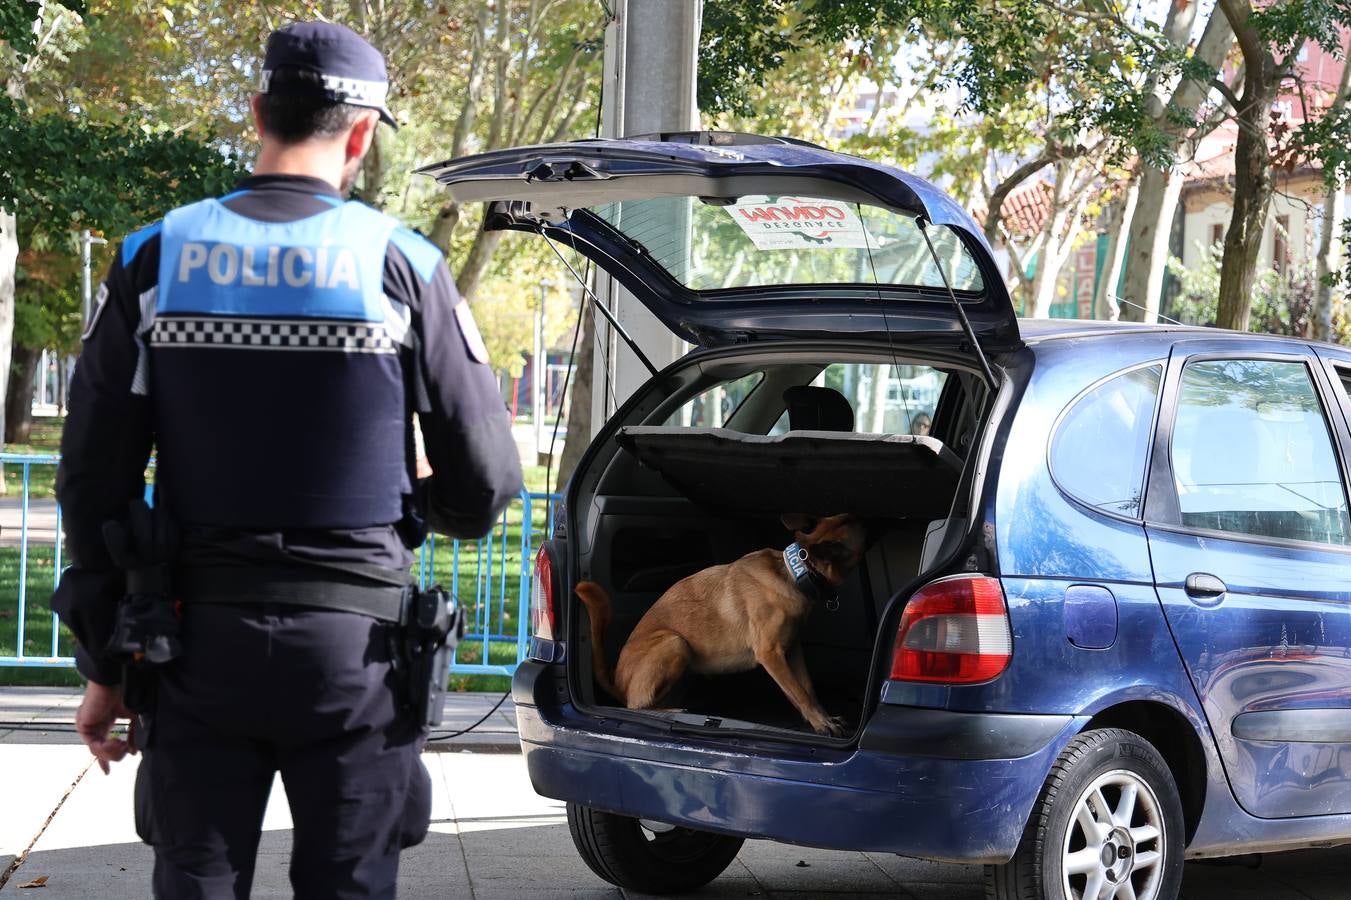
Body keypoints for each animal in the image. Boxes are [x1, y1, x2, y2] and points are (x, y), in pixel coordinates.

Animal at [570, 510, 864, 735]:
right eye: (856, 525)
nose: (864, 515)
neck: (794, 572)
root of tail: (617, 682)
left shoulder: (793, 650)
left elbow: (808, 688)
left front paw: (825, 717)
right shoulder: (771, 654)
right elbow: (799, 693)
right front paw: (820, 723)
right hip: (675, 643)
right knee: (636, 705)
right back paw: (670, 711)